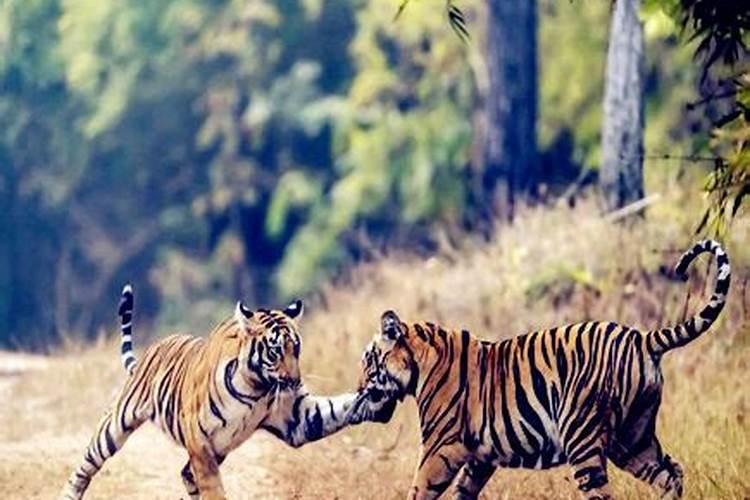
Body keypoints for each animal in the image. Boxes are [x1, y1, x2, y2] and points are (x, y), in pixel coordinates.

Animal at [61, 284, 363, 500]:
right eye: (275, 351)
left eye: (296, 348)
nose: (294, 380)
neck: (258, 387)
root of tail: (153, 349)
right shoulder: (199, 440)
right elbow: (213, 488)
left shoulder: (296, 418)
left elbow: (336, 409)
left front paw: (370, 397)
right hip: (115, 427)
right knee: (85, 467)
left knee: (185, 474)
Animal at [348, 240, 731, 500]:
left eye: (368, 362)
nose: (357, 389)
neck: (421, 363)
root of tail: (641, 338)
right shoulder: (479, 457)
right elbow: (462, 491)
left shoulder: (439, 448)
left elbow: (419, 490)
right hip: (632, 438)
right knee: (671, 473)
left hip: (583, 437)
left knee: (604, 492)